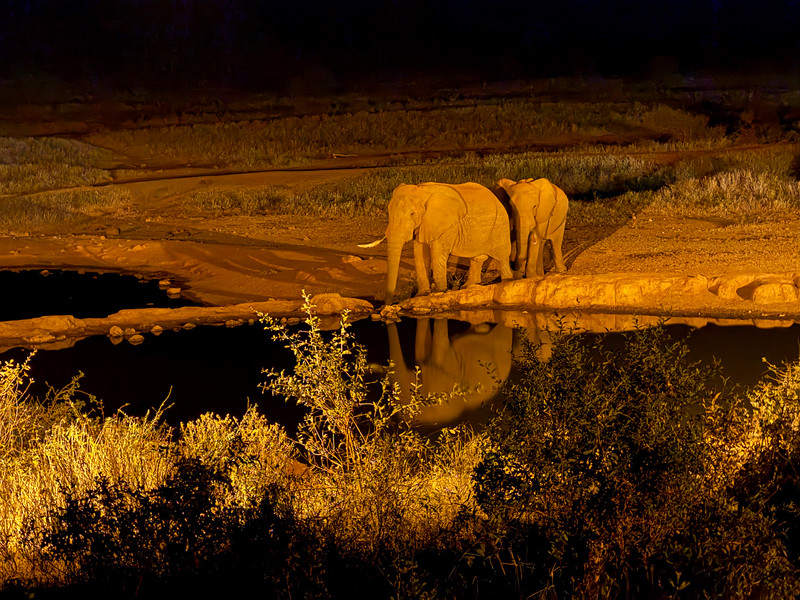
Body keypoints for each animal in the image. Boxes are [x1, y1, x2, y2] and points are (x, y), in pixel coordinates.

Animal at [359, 182, 514, 304]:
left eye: (412, 214)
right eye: (389, 212)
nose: (386, 306)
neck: (421, 191)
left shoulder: (446, 225)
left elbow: (438, 254)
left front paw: (440, 292)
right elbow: (420, 254)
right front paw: (422, 294)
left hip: (500, 224)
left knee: (502, 257)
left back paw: (506, 282)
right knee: (477, 259)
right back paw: (469, 287)